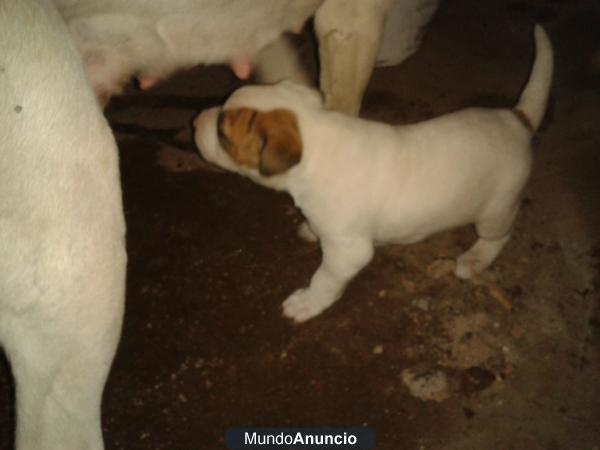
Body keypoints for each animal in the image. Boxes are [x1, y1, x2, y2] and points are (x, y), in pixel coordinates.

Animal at [193, 25, 552, 324]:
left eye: (223, 134)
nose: (195, 122)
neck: (318, 139)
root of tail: (515, 120)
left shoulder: (348, 253)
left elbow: (324, 280)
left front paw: (307, 303)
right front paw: (310, 229)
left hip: (496, 210)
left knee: (498, 237)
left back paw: (475, 258)